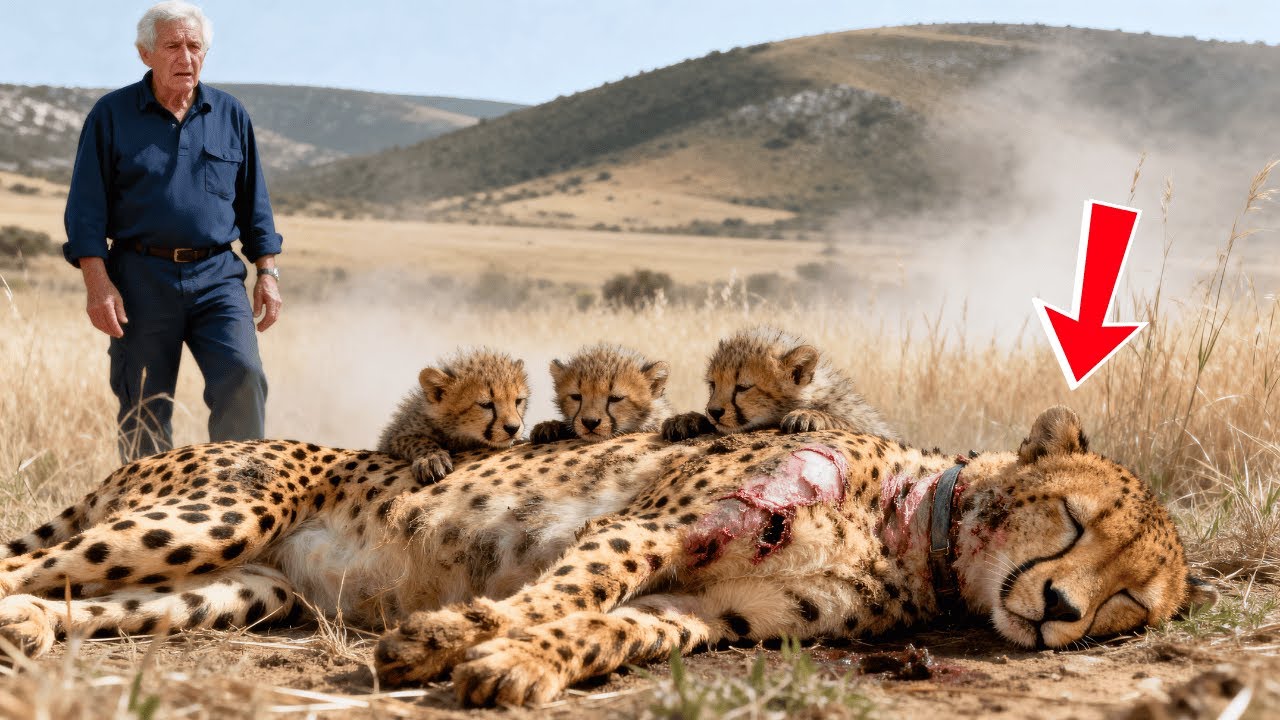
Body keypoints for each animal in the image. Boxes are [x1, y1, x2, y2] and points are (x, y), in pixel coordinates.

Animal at [0, 406, 1210, 709]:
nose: (1060, 611)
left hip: (234, 589)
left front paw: (516, 665)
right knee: (20, 564)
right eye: (1072, 525)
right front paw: (456, 636)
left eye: (1129, 611)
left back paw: (30, 633)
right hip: (215, 516)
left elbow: (606, 629)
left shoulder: (713, 614)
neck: (917, 529)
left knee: (73, 602)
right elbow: (576, 582)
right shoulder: (667, 524)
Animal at [377, 348, 528, 483]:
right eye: (486, 404)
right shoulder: (394, 438)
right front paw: (431, 458)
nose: (513, 428)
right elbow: (417, 440)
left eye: (518, 401)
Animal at [662, 326, 895, 442]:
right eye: (713, 384)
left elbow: (848, 422)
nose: (714, 411)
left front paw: (808, 416)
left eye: (743, 387)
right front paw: (686, 419)